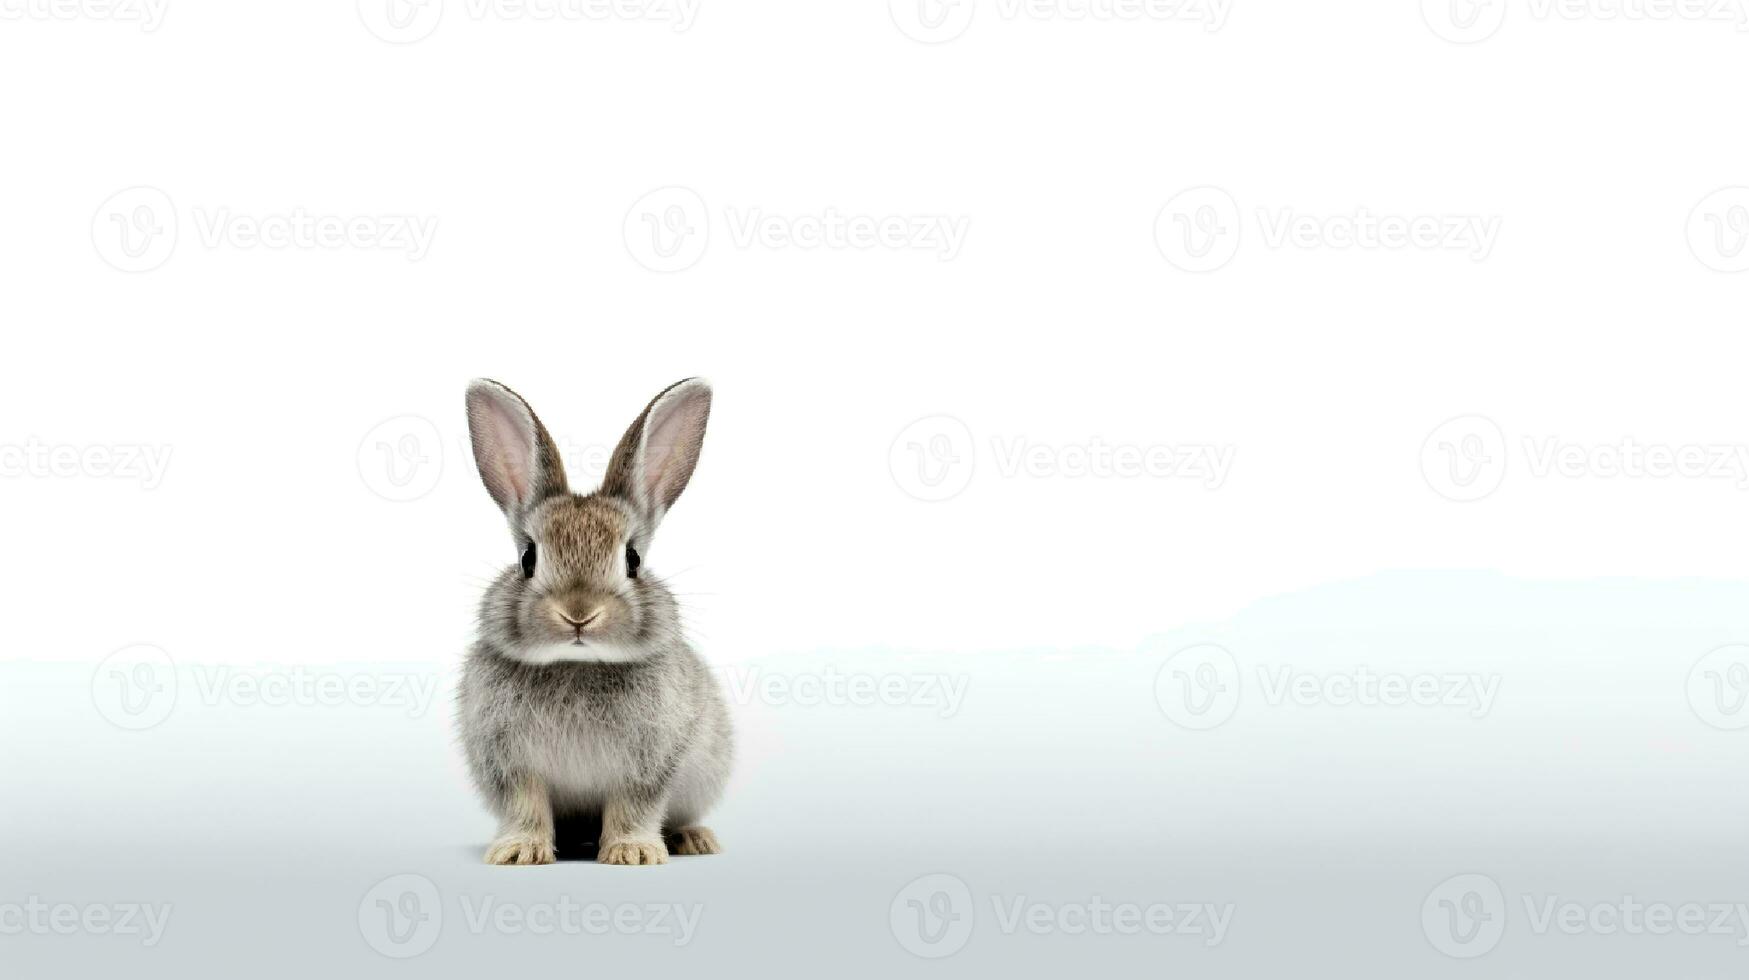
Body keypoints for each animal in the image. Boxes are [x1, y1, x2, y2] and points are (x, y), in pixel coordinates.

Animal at [458, 379, 731, 868]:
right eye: (528, 558)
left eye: (632, 559)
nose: (579, 614)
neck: (577, 662)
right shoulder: (509, 762)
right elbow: (525, 806)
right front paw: (520, 851)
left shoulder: (648, 762)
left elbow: (634, 806)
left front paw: (633, 852)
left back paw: (693, 839)